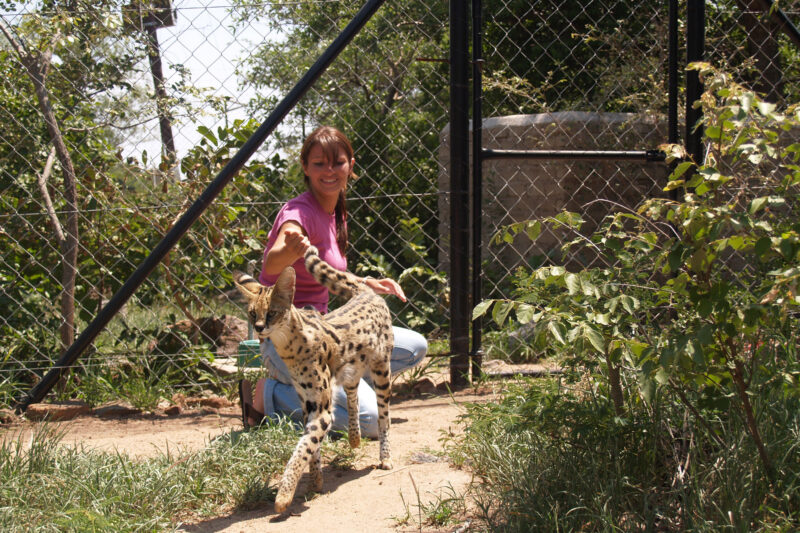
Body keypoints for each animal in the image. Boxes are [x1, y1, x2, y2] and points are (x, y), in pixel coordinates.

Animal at [231, 245, 394, 512]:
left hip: (382, 370)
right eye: (253, 314)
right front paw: (315, 482)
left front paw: (284, 495)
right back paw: (354, 437)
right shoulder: (307, 401)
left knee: (383, 417)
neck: (289, 347)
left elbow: (303, 447)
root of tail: (365, 292)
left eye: (272, 313)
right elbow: (312, 446)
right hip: (350, 369)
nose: (259, 328)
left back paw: (385, 456)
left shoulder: (321, 408)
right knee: (354, 395)